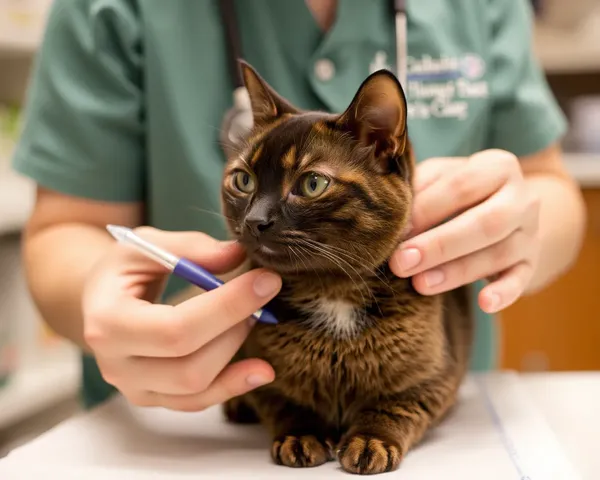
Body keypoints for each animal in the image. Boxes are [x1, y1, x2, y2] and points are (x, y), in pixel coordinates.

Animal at [218, 61, 476, 476]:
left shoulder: (434, 376)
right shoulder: (266, 377)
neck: (332, 293)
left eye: (312, 183)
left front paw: (370, 440)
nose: (255, 220)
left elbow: (393, 405)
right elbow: (286, 401)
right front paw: (301, 435)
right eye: (243, 180)